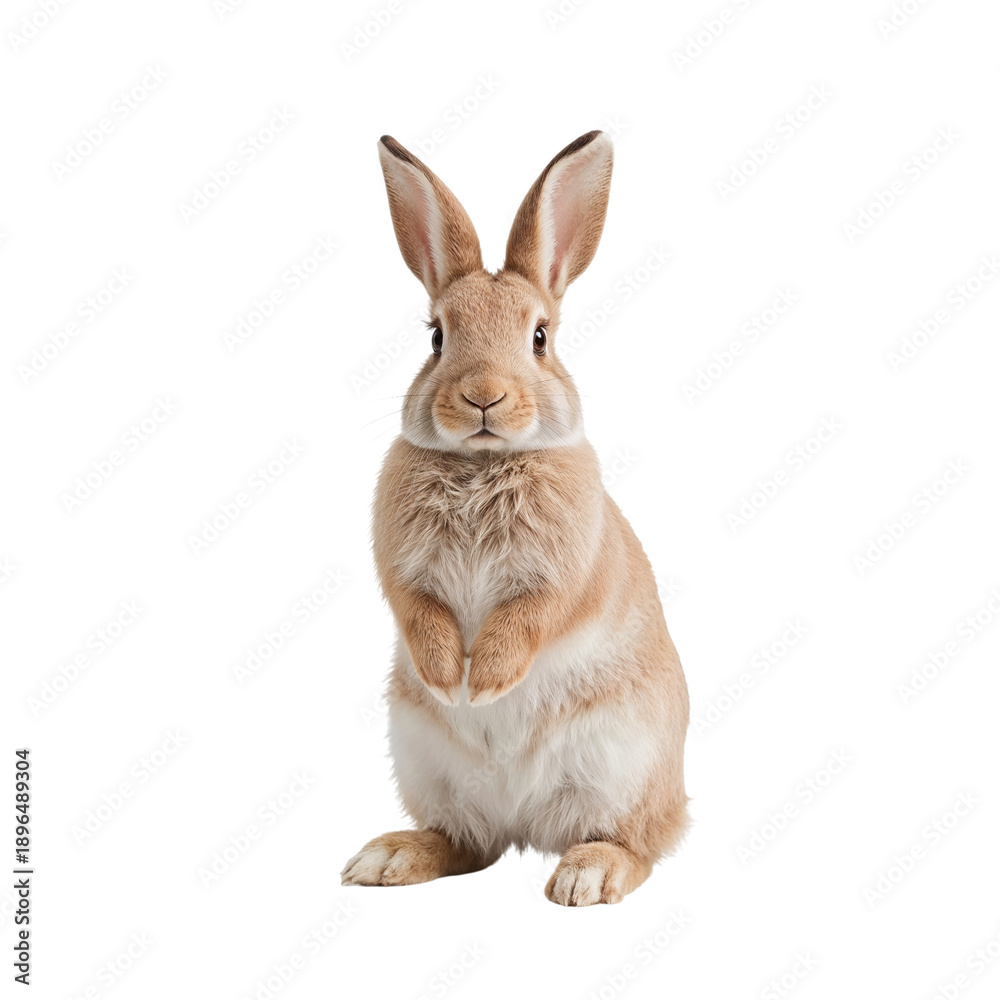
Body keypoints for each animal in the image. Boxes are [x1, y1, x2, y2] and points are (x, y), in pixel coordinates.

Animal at [340, 130, 689, 906]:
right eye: (437, 337)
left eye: (539, 337)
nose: (483, 397)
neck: (483, 463)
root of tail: (525, 820)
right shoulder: (400, 574)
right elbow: (417, 611)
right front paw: (450, 679)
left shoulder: (566, 576)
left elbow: (531, 616)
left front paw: (487, 682)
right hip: (427, 766)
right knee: (467, 843)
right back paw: (386, 858)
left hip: (622, 767)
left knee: (637, 844)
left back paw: (586, 877)